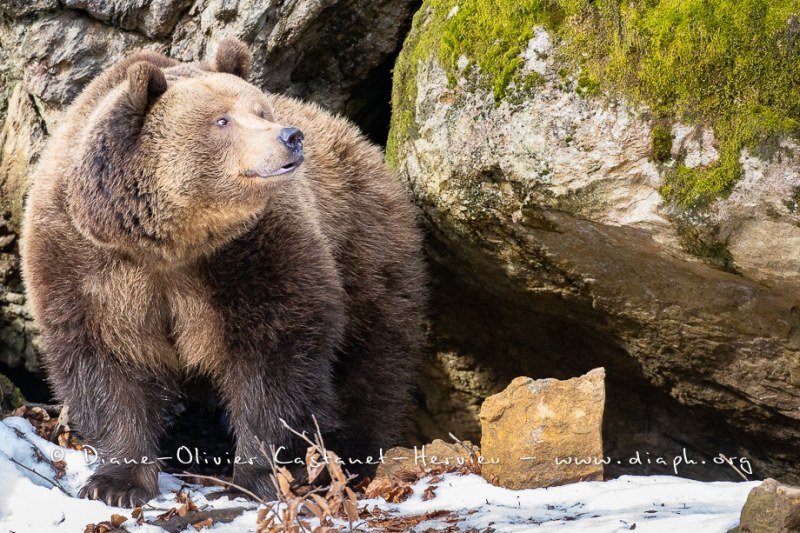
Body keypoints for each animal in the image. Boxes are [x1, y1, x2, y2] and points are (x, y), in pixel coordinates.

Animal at [21, 38, 428, 508]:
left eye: (261, 110)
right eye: (222, 119)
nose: (291, 136)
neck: (171, 243)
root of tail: (360, 140)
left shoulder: (253, 255)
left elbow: (275, 358)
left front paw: (261, 476)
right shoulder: (86, 266)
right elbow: (107, 364)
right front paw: (116, 483)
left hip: (365, 251)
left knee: (374, 361)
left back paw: (352, 456)